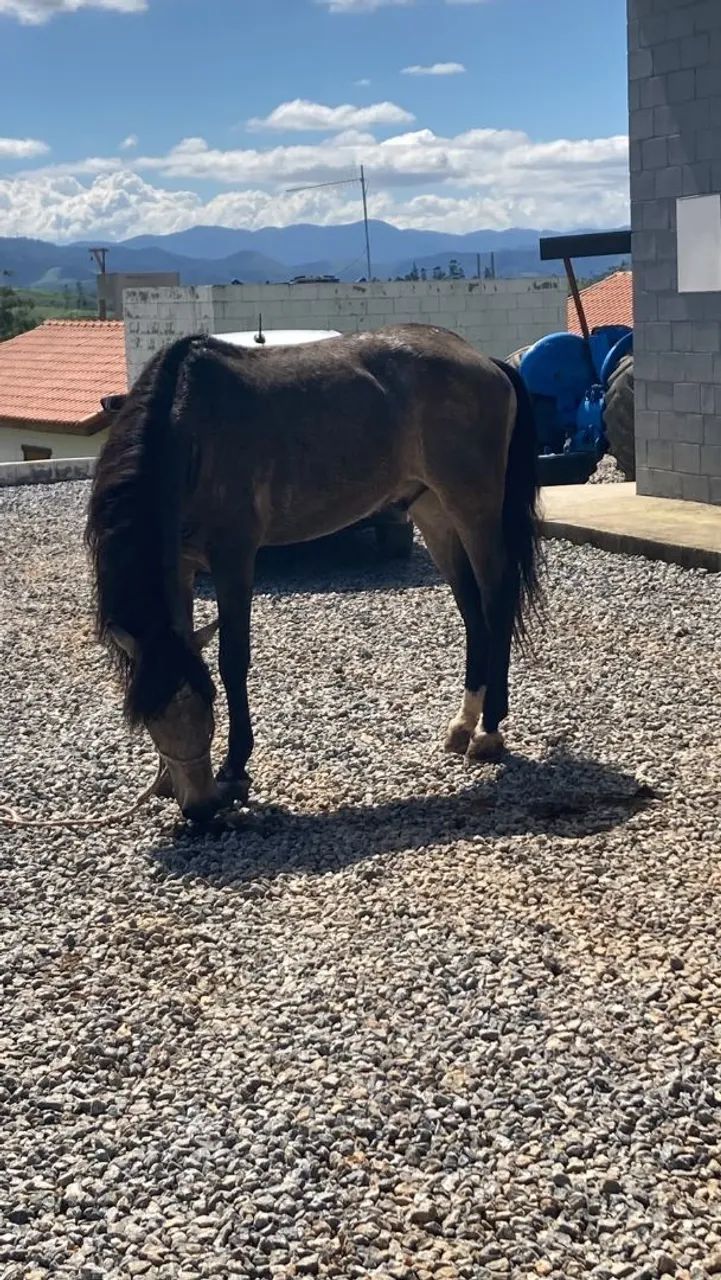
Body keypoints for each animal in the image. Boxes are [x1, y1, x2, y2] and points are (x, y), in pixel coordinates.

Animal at [86, 324, 542, 823]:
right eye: (150, 716)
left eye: (206, 706)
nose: (202, 809)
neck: (188, 428)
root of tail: (483, 361)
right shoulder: (184, 567)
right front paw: (168, 782)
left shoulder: (234, 557)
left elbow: (232, 660)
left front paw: (235, 768)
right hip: (433, 510)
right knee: (472, 612)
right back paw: (463, 724)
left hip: (474, 509)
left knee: (497, 602)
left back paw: (489, 731)